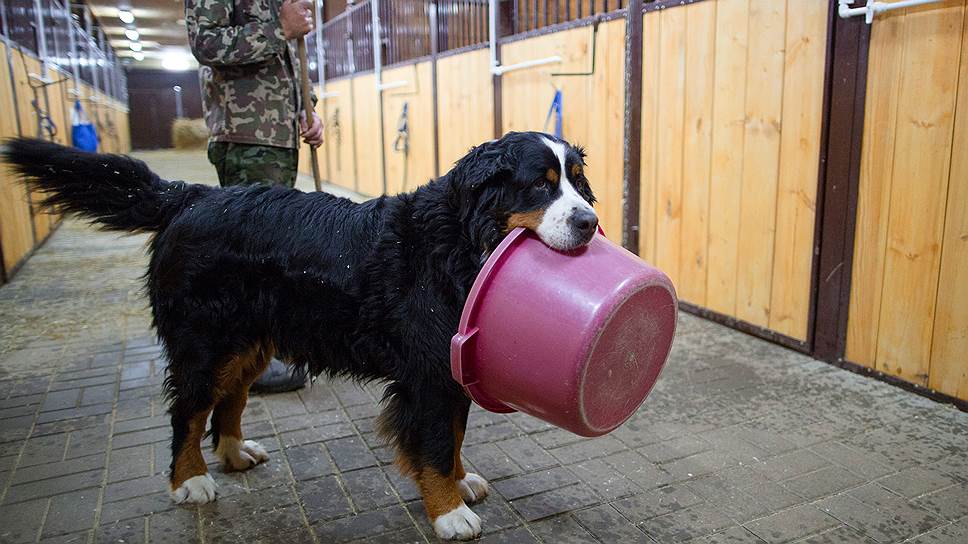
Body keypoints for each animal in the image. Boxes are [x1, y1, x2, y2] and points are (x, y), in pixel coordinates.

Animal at [1, 131, 596, 540]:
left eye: (577, 184)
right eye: (540, 185)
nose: (589, 221)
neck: (458, 241)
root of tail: (191, 197)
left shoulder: (450, 368)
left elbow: (452, 435)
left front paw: (460, 479)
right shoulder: (426, 373)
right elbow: (432, 442)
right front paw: (449, 511)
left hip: (249, 343)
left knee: (230, 400)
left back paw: (235, 452)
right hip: (205, 343)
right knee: (188, 412)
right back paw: (189, 481)